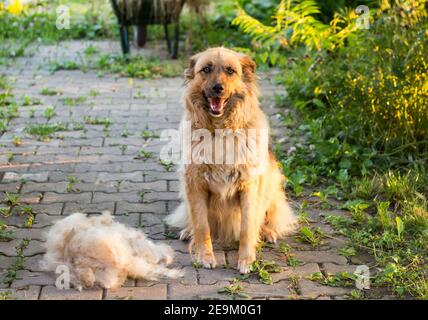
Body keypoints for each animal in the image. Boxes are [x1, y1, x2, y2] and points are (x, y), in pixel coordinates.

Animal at [166, 47, 296, 272]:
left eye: (230, 71)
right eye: (206, 69)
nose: (218, 88)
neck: (221, 130)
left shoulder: (249, 186)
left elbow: (247, 227)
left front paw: (246, 259)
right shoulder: (195, 184)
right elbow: (202, 226)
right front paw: (205, 255)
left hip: (271, 188)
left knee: (269, 217)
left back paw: (268, 232)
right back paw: (188, 231)